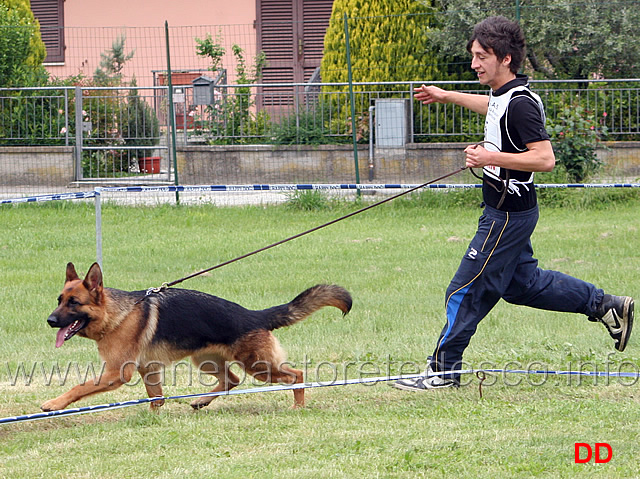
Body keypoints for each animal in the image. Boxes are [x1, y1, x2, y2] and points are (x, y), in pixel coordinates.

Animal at [42, 262, 352, 412]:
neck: (117, 315)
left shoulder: (116, 373)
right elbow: (156, 399)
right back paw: (201, 401)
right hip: (205, 360)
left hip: (259, 366)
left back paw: (298, 406)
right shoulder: (147, 370)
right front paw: (155, 417)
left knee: (296, 375)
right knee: (232, 380)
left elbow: (78, 387)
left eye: (74, 303)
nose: (50, 321)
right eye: (59, 300)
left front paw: (54, 404)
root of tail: (254, 315)